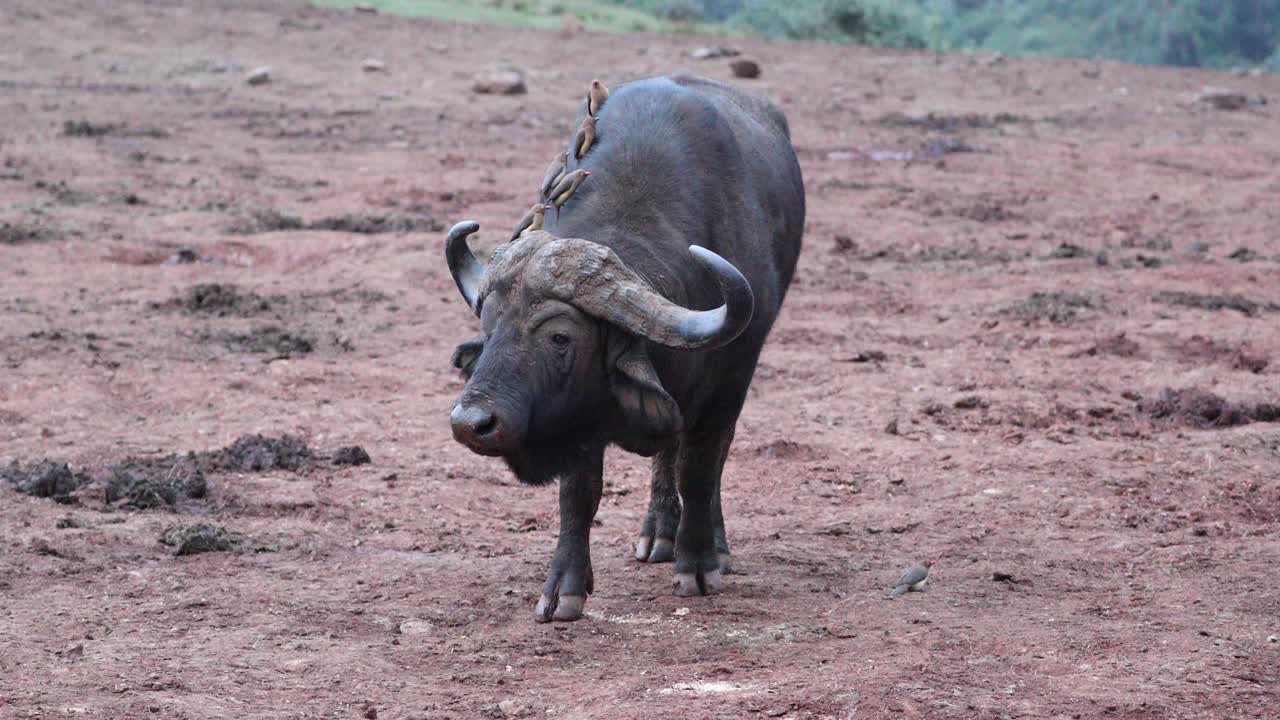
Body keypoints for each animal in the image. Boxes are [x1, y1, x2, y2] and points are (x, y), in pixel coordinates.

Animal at [445, 73, 804, 622]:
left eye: (560, 337)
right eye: (489, 331)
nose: (471, 424)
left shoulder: (731, 379)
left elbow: (701, 466)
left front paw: (698, 563)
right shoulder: (578, 413)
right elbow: (579, 493)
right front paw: (564, 588)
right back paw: (659, 533)